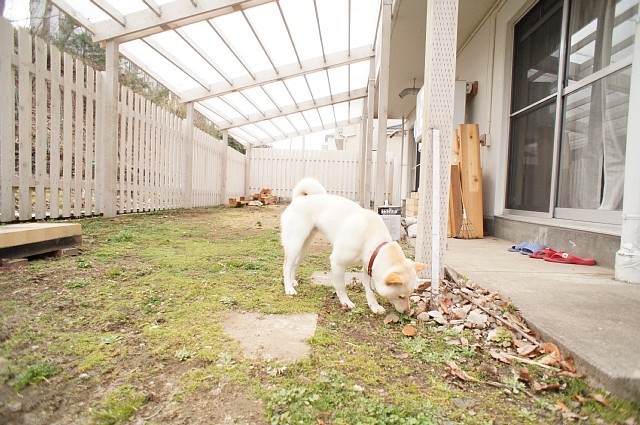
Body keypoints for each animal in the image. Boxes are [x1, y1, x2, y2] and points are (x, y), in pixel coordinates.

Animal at [278, 177, 424, 314]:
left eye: (410, 294)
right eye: (401, 296)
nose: (408, 312)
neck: (371, 239)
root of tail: (298, 199)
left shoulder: (369, 267)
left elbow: (370, 291)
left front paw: (374, 306)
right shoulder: (337, 263)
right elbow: (341, 287)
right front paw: (346, 302)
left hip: (304, 246)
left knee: (295, 264)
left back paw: (292, 281)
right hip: (295, 244)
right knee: (286, 266)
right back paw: (289, 288)